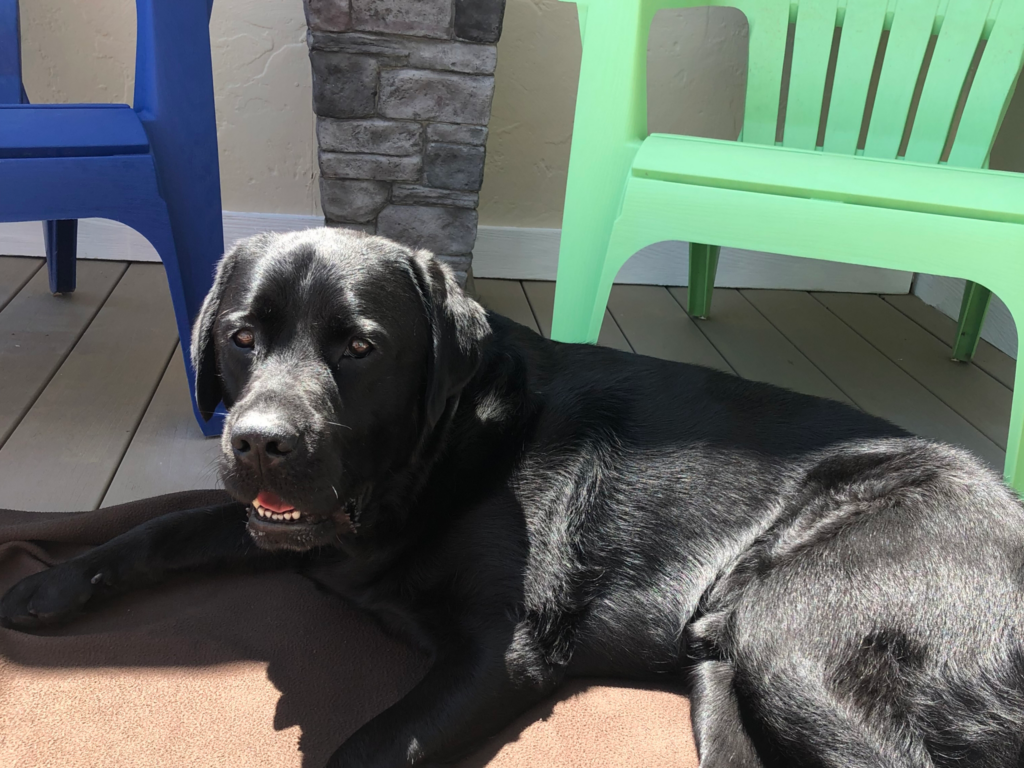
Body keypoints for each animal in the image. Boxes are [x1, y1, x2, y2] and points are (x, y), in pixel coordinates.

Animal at [2, 230, 1024, 768]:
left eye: (360, 348)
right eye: (244, 337)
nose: (259, 441)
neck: (434, 459)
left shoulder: (503, 651)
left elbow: (372, 746)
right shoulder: (279, 524)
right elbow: (168, 525)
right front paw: (52, 584)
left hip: (797, 633)